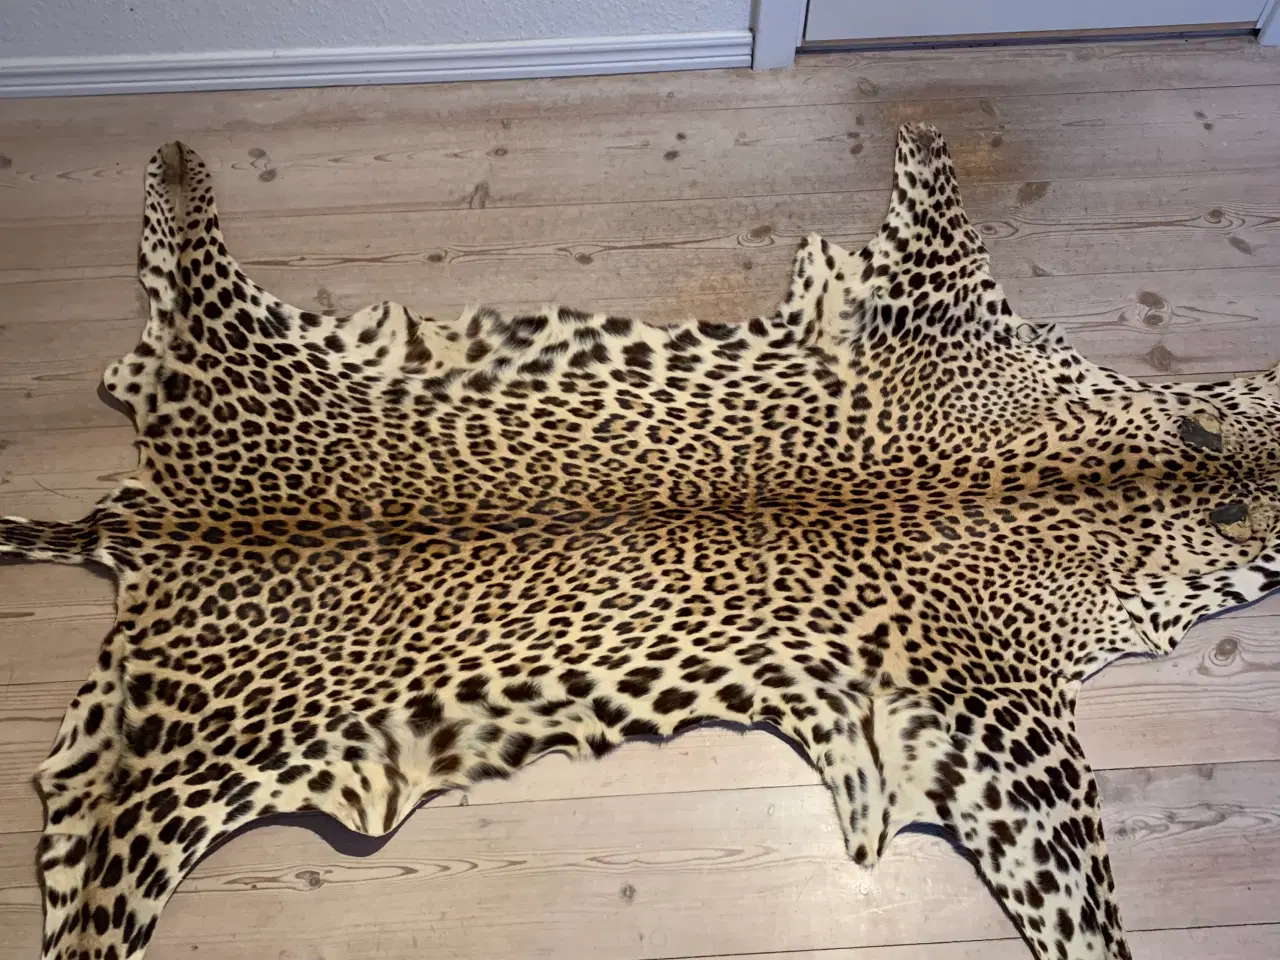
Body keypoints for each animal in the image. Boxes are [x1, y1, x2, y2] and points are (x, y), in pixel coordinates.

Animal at [3, 122, 1279, 960]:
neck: (1158, 470)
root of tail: (147, 515)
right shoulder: (1001, 715)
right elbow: (1077, 891)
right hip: (185, 775)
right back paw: (183, 161)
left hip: (153, 735)